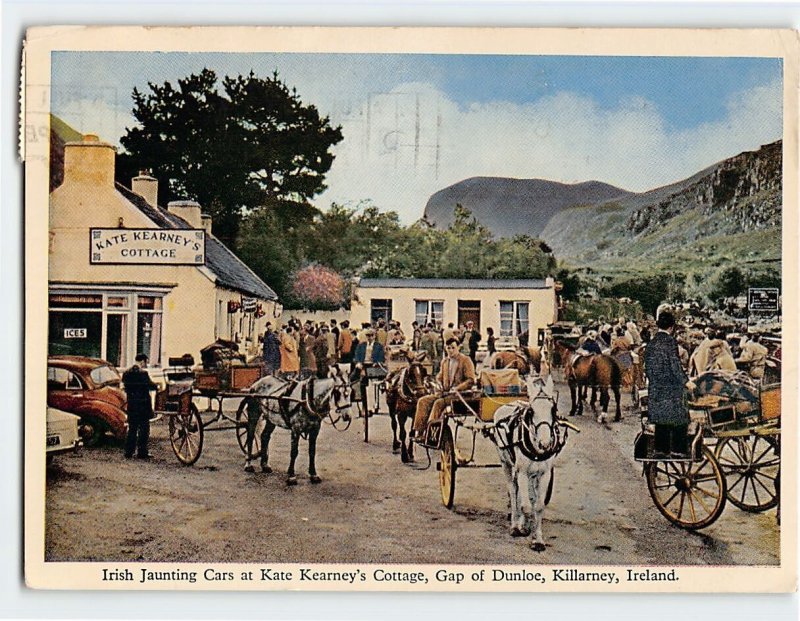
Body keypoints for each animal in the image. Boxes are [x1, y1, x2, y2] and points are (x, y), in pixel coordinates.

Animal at [490, 370, 572, 548]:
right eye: (532, 411)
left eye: (553, 409)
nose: (545, 443)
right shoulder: (521, 471)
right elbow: (526, 505)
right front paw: (523, 528)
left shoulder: (544, 473)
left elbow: (538, 505)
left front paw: (538, 539)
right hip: (506, 463)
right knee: (513, 490)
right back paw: (515, 524)